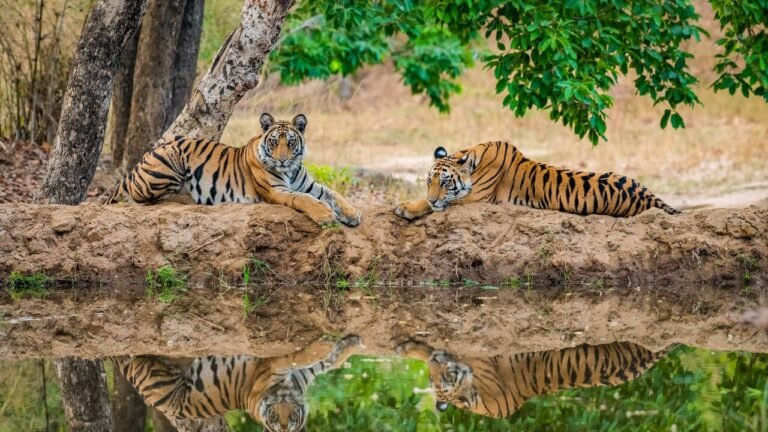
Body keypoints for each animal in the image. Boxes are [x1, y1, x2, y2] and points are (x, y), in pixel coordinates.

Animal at [104, 113, 361, 227]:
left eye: (290, 142)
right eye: (274, 142)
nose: (282, 160)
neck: (290, 170)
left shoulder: (309, 185)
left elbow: (332, 193)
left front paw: (352, 213)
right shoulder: (277, 191)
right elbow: (304, 199)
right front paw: (326, 215)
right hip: (171, 160)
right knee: (143, 199)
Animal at [112, 334, 361, 432]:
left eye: (290, 420)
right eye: (274, 418)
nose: (282, 422)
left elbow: (327, 361)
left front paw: (348, 343)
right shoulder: (270, 367)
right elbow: (303, 356)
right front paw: (327, 343)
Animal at [395, 141, 680, 220]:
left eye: (445, 183)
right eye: (428, 182)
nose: (434, 197)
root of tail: (649, 195)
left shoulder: (477, 198)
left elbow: (436, 204)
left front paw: (405, 207)